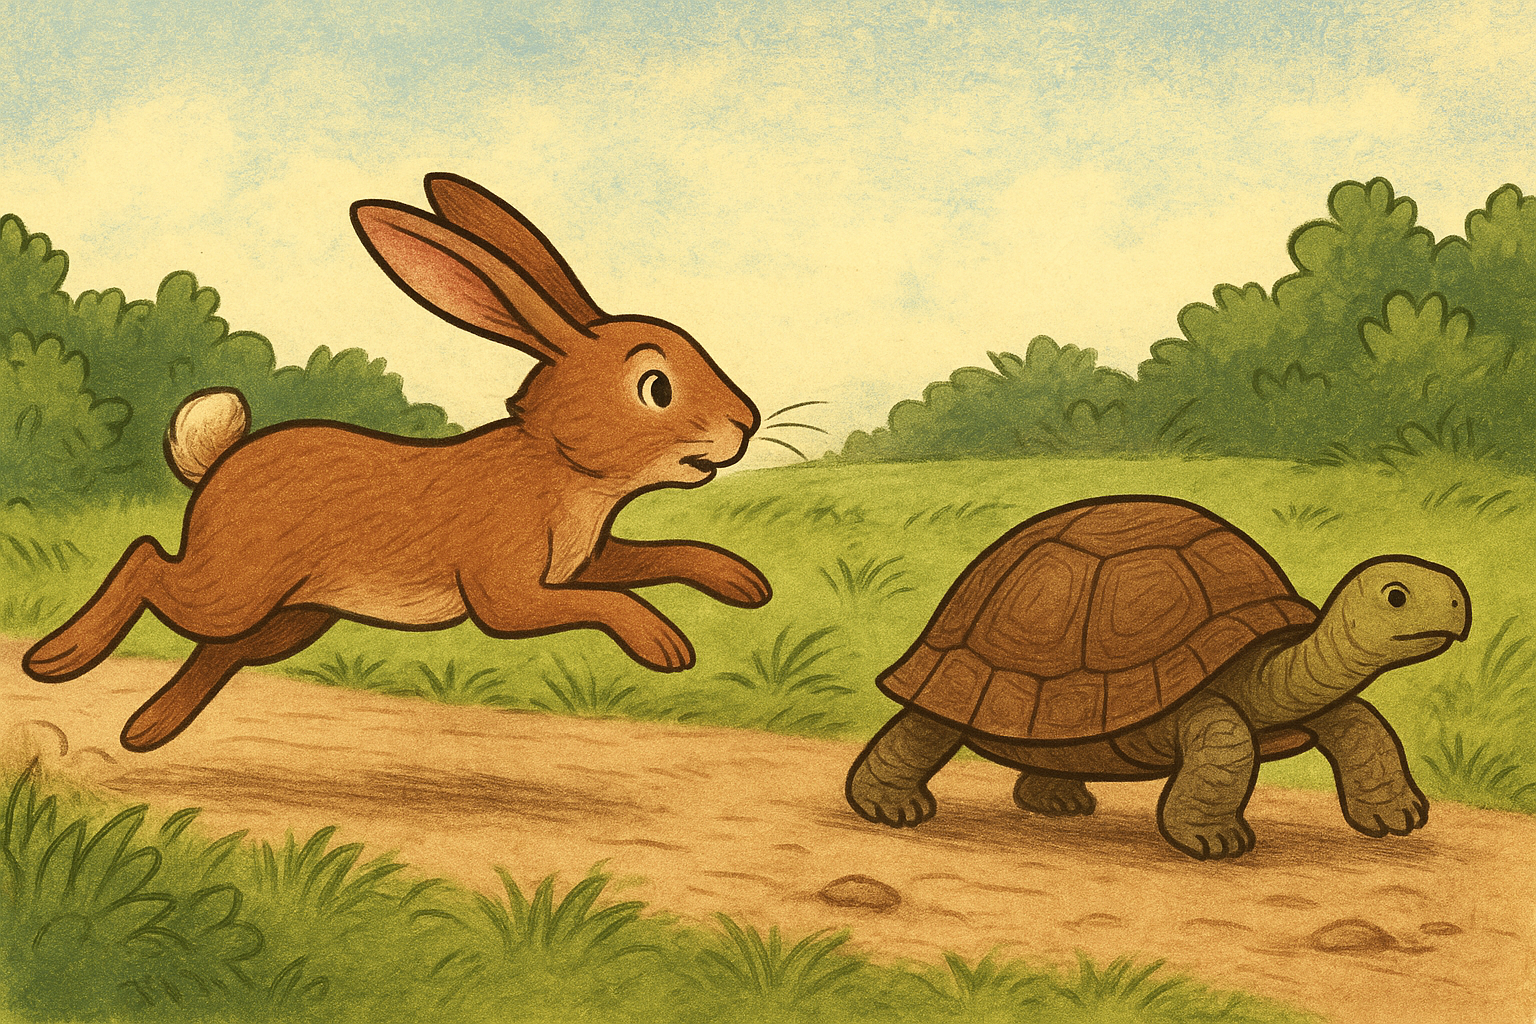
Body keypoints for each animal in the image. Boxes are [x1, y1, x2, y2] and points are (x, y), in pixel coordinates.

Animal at [23, 172, 770, 752]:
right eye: (656, 387)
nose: (747, 423)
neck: (556, 465)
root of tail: (220, 462)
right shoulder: (510, 594)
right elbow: (604, 600)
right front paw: (664, 643)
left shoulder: (588, 558)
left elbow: (661, 554)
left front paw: (744, 584)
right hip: (232, 588)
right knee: (147, 562)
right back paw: (58, 658)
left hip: (295, 616)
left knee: (221, 649)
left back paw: (148, 729)